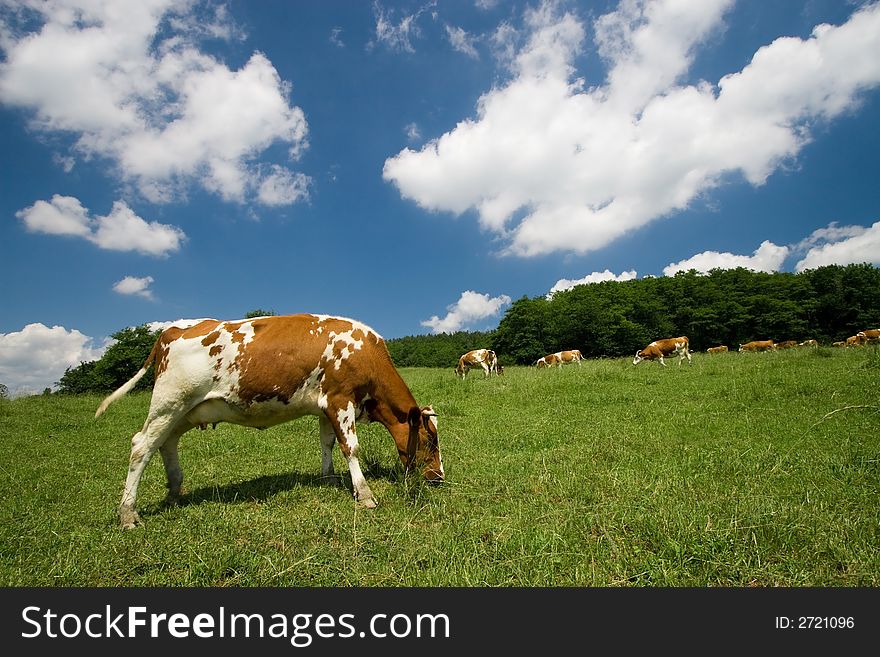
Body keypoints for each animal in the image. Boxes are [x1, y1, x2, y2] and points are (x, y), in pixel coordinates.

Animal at [94, 314, 446, 528]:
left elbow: (328, 442)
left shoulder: (325, 406)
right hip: (169, 402)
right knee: (141, 446)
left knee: (166, 443)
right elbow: (351, 447)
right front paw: (365, 495)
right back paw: (128, 514)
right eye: (430, 440)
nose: (438, 478)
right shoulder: (340, 398)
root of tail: (172, 329)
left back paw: (174, 491)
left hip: (184, 411)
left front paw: (329, 478)